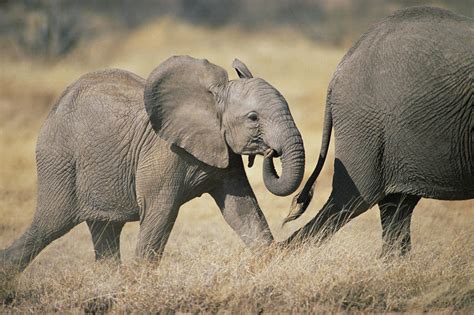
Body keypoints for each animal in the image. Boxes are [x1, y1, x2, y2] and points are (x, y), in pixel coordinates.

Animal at [0, 55, 304, 274]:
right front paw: (141, 281)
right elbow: (161, 211)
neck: (212, 97)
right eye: (253, 118)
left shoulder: (223, 151)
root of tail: (53, 110)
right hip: (59, 161)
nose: (271, 153)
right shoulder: (164, 153)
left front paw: (272, 265)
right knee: (49, 224)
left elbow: (241, 209)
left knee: (104, 230)